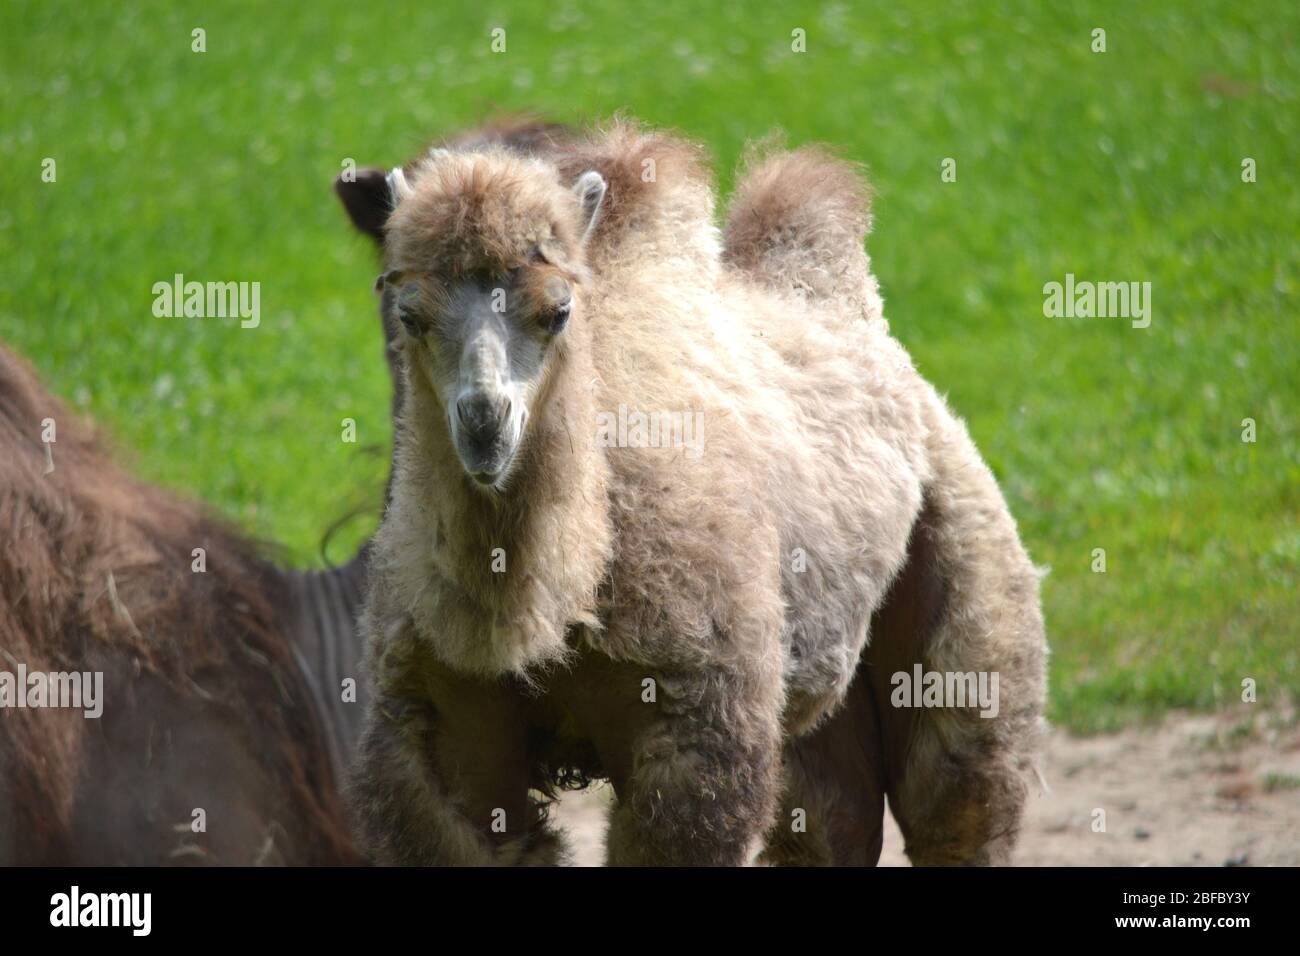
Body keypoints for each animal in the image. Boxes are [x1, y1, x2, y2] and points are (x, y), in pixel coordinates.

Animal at [348, 121, 1045, 868]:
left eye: (558, 311)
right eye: (408, 314)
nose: (484, 424)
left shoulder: (698, 730)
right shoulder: (441, 732)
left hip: (962, 563)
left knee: (955, 793)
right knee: (832, 820)